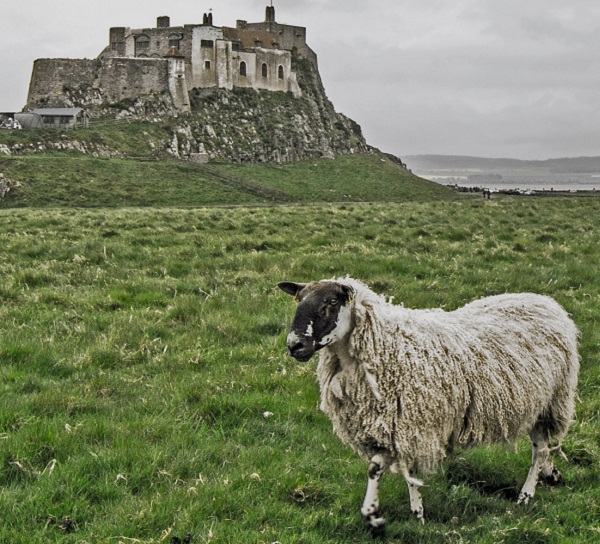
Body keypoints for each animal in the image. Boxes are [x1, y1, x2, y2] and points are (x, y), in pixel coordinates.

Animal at [278, 278, 580, 532]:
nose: (295, 345)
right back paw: (550, 474)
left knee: (539, 450)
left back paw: (526, 494)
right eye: (299, 299)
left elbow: (403, 471)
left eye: (331, 302)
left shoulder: (412, 424)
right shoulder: (385, 426)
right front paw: (373, 513)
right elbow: (375, 468)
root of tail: (546, 302)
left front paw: (415, 514)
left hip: (551, 401)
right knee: (544, 448)